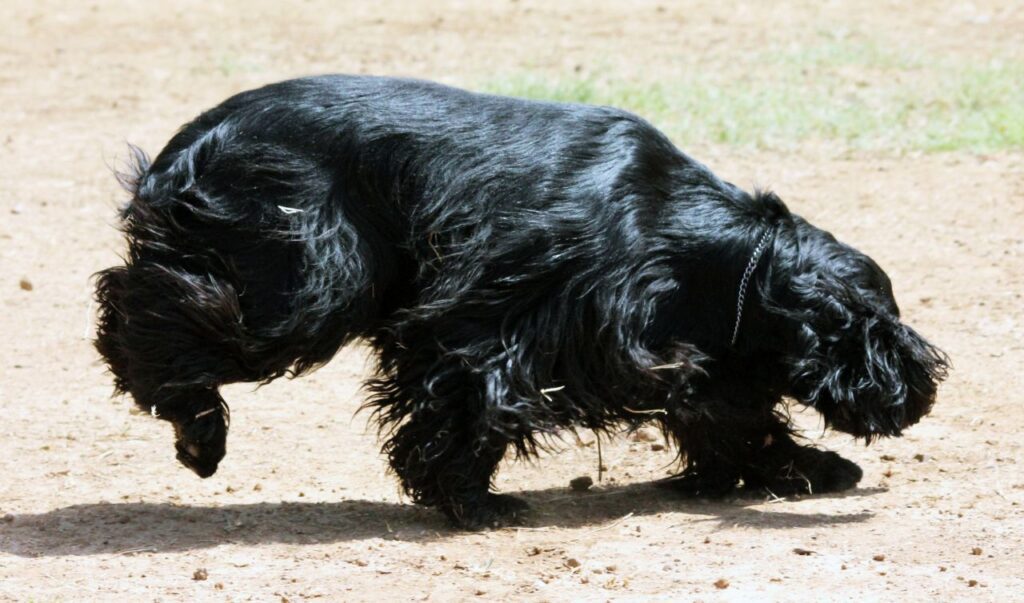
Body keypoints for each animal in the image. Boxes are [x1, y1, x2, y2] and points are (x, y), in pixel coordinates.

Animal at [94, 74, 942, 528]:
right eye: (876, 324)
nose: (926, 384)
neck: (694, 241)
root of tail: (188, 147)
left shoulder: (685, 350)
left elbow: (732, 416)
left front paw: (806, 465)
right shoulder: (496, 321)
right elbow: (471, 405)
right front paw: (471, 499)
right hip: (303, 279)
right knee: (148, 307)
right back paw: (196, 427)